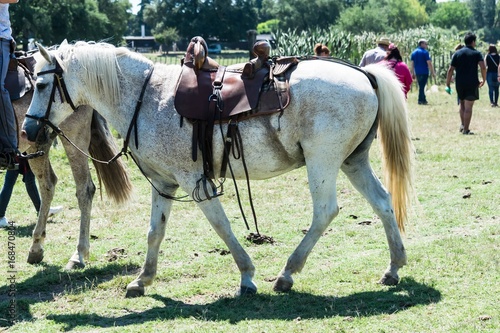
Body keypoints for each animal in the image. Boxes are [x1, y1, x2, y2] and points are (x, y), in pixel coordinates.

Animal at [12, 53, 132, 268]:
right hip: (38, 143)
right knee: (48, 184)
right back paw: (36, 247)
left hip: (73, 140)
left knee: (84, 189)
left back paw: (78, 254)